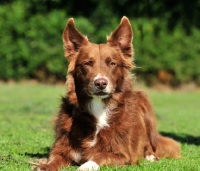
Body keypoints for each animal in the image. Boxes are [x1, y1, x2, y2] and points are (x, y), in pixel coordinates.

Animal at [33, 16, 181, 171]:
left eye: (112, 63)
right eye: (87, 63)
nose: (100, 83)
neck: (99, 108)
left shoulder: (123, 154)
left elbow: (100, 155)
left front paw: (86, 166)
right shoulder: (61, 148)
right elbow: (54, 159)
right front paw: (44, 166)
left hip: (144, 102)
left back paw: (151, 156)